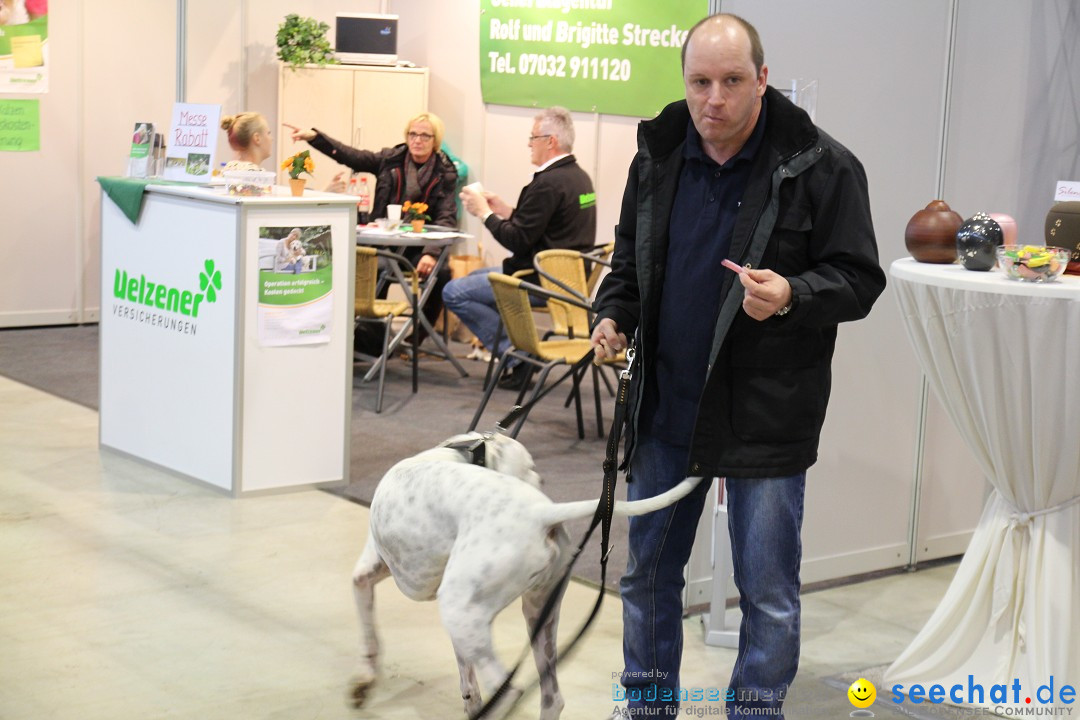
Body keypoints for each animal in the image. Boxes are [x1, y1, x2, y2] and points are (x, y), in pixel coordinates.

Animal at [349, 433, 704, 720]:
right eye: (533, 469)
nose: (541, 481)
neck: (463, 452)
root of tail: (540, 513)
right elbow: (464, 667)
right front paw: (469, 698)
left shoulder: (366, 573)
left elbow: (369, 633)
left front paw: (365, 681)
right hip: (537, 619)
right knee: (552, 698)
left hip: (458, 607)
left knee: (510, 692)